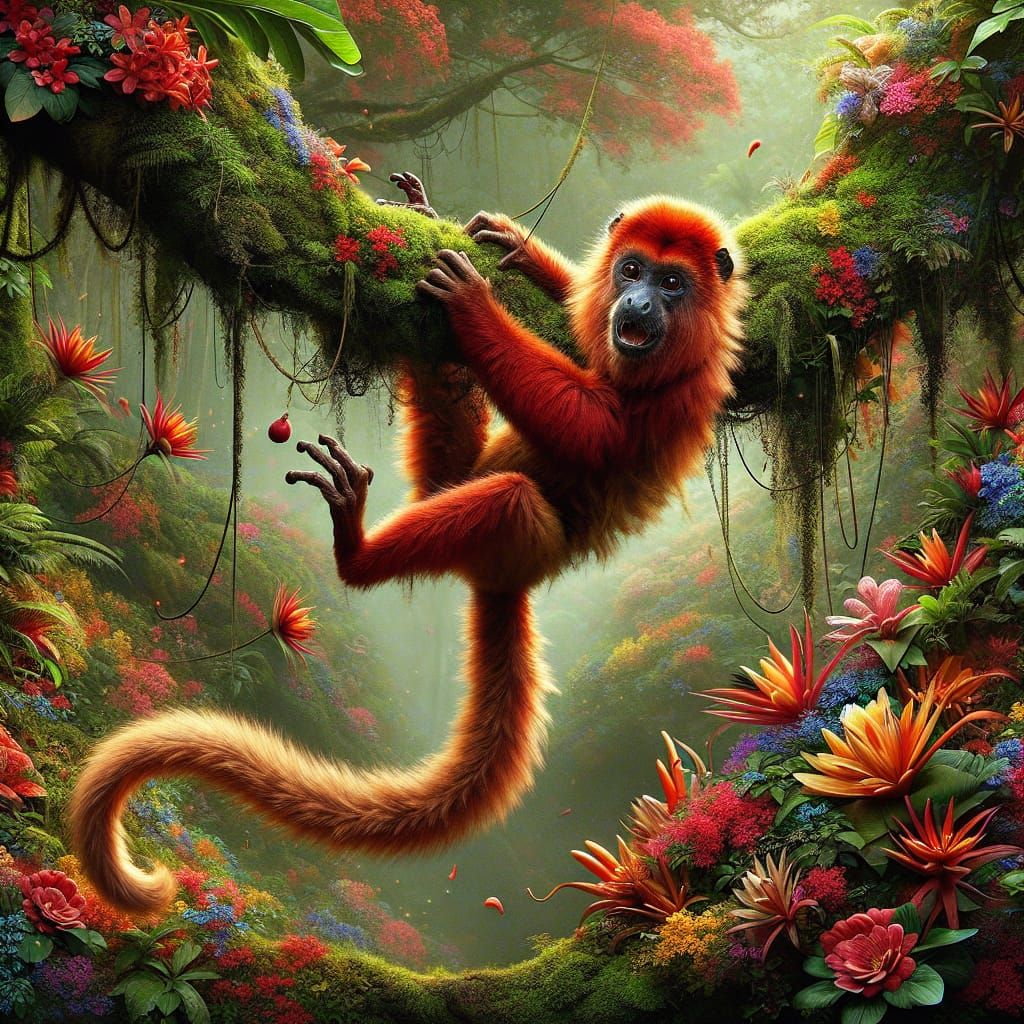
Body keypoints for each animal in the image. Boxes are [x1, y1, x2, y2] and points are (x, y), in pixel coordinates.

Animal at [69, 184, 746, 914]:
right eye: (631, 270)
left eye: (672, 284)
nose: (638, 305)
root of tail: (510, 580)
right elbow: (572, 311)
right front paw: (517, 247)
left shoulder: (682, 393)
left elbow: (595, 433)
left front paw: (477, 306)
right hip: (452, 477)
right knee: (449, 445)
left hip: (520, 538)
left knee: (508, 497)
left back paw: (358, 552)